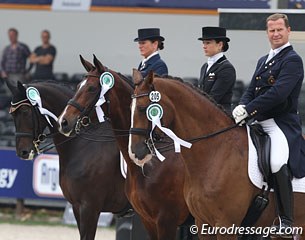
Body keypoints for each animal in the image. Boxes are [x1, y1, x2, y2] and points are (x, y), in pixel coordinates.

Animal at [6, 81, 128, 240]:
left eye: (25, 111)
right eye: (12, 114)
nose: (23, 152)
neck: (83, 144)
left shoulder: (90, 208)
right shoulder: (76, 206)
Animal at [127, 70, 304, 240]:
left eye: (143, 109)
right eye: (130, 109)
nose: (135, 152)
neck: (215, 152)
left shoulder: (226, 225)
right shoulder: (202, 224)